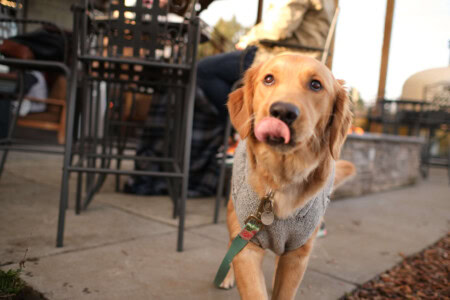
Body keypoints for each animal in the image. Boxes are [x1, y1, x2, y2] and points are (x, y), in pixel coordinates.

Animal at [221, 52, 356, 298]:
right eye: (268, 79)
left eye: (316, 85)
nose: (282, 111)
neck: (280, 181)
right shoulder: (248, 245)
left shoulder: (297, 255)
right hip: (232, 216)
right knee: (229, 246)